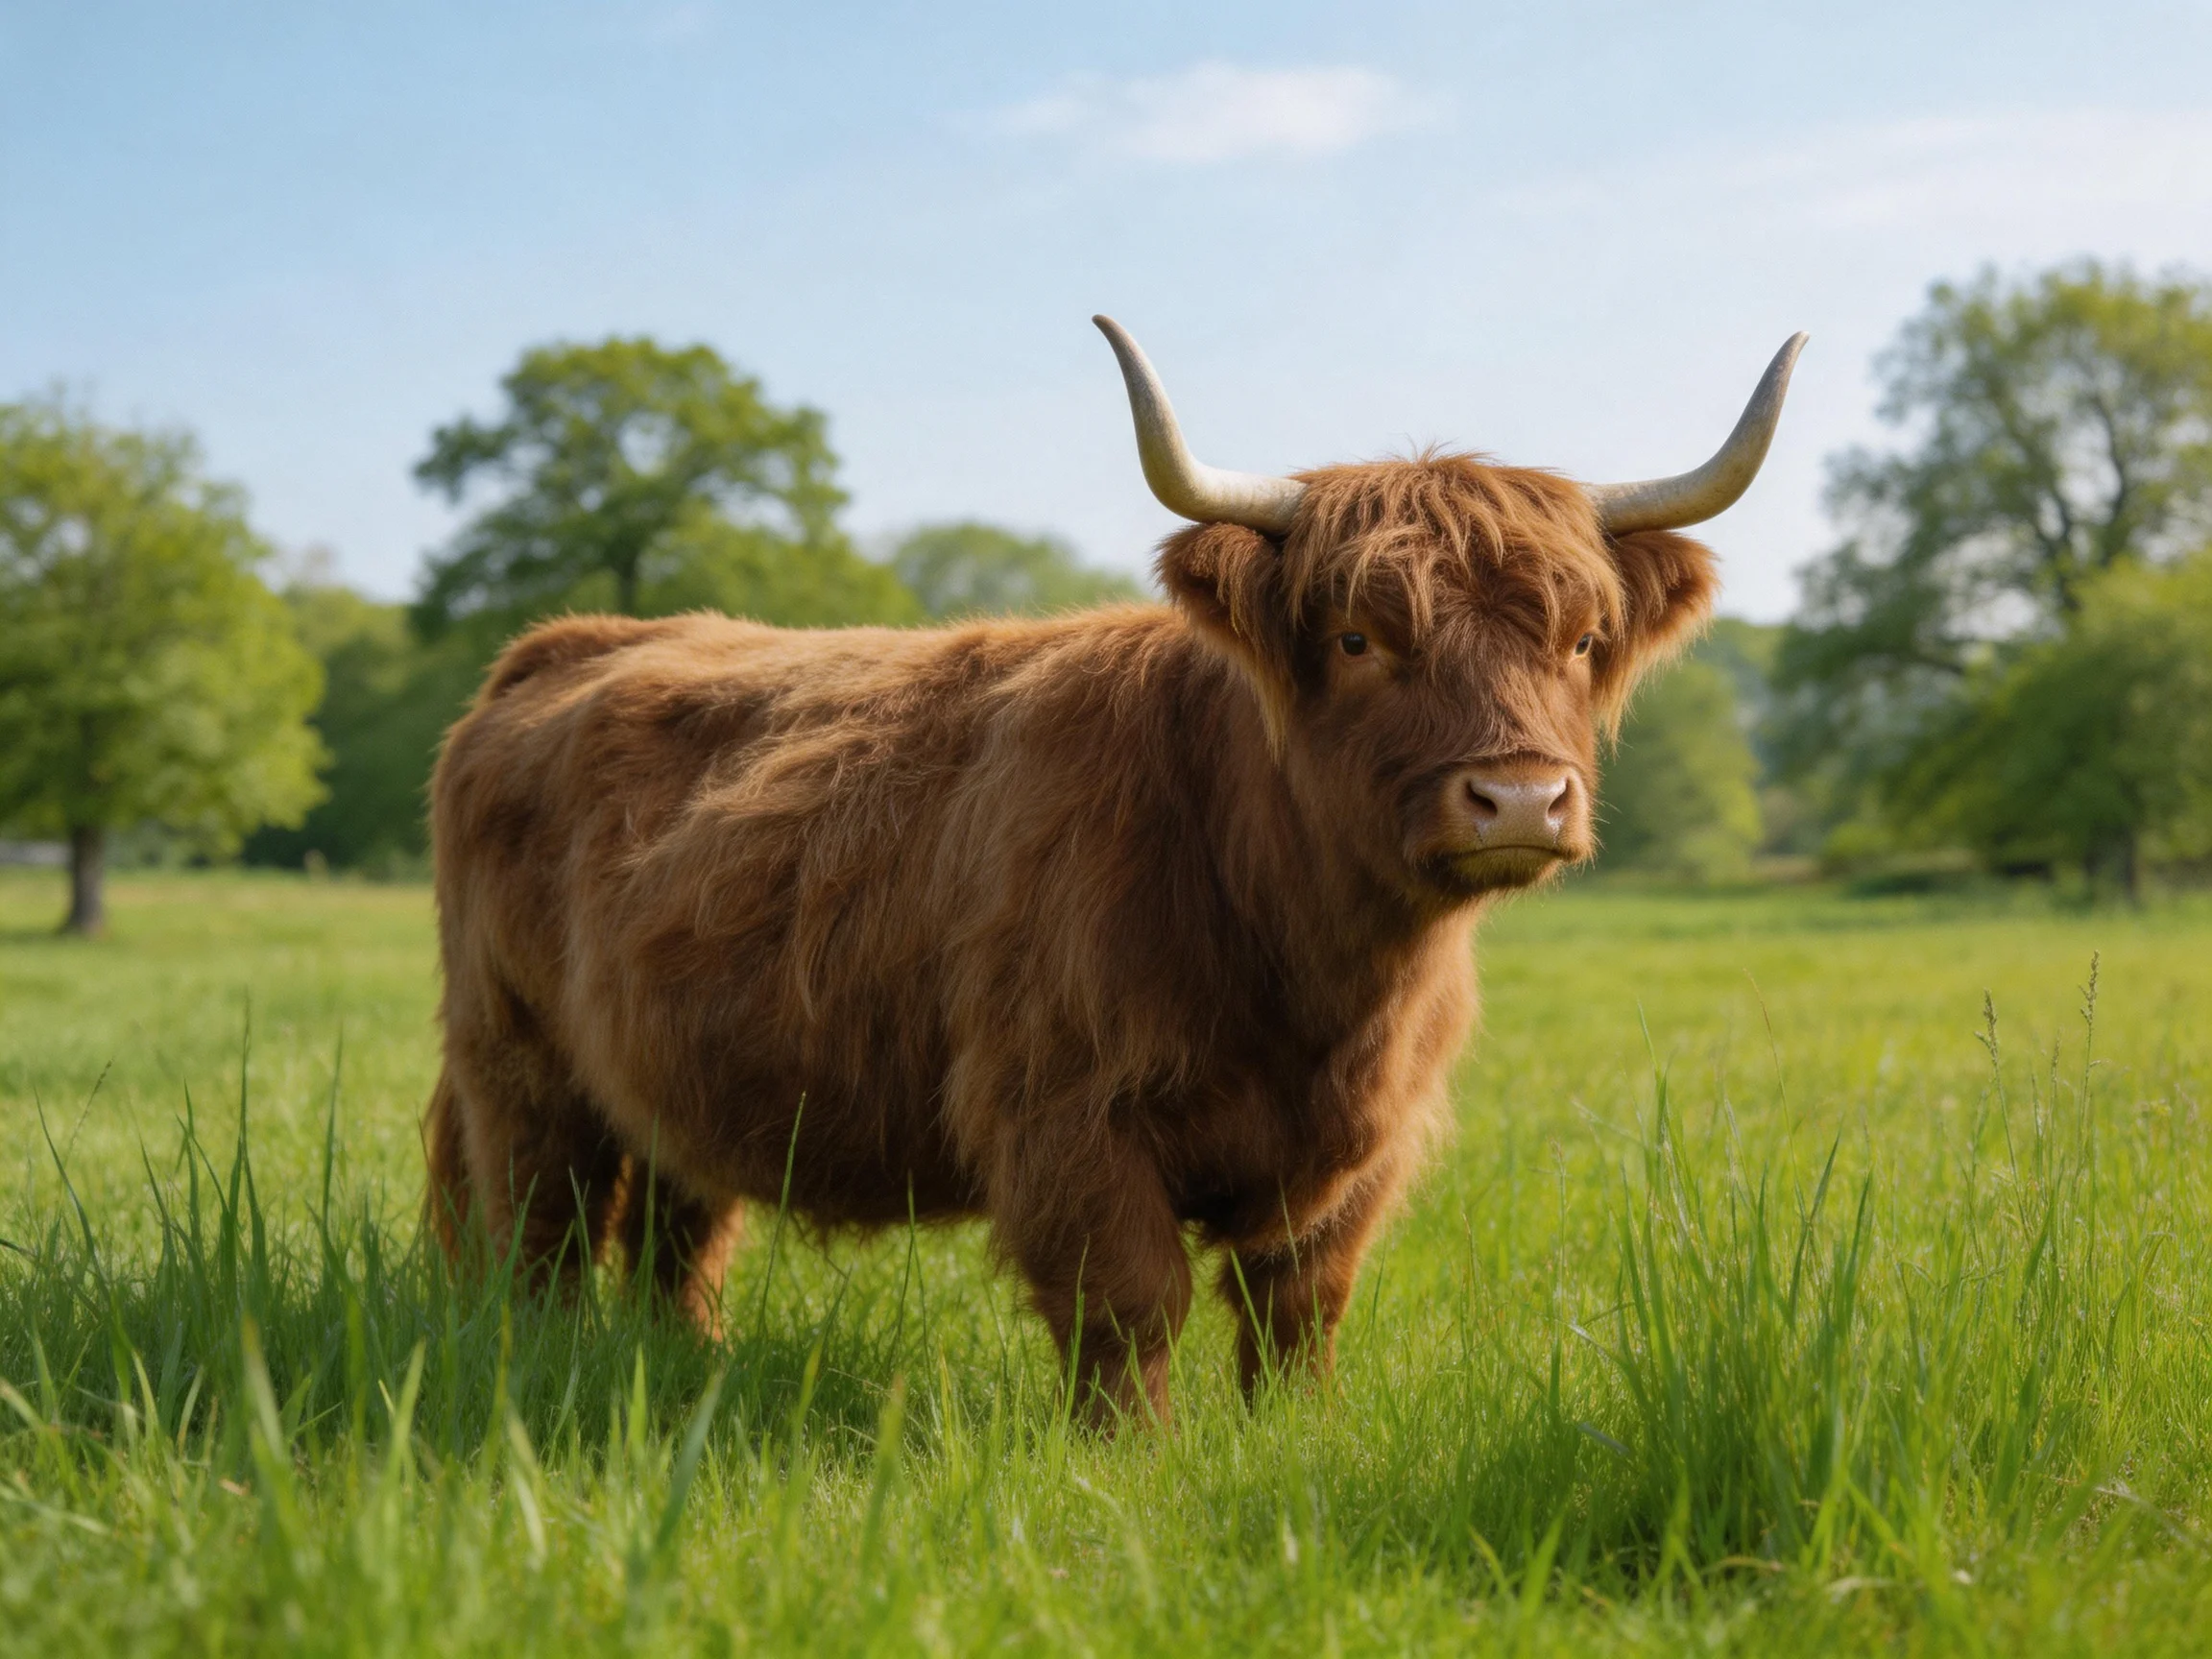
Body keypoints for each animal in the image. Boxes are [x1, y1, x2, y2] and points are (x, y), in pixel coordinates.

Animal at [424, 317, 1804, 1425]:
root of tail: (563, 646)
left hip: (670, 1067)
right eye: (1359, 638)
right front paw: (1129, 1461)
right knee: (538, 1223)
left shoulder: (1364, 1144)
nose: (1519, 796)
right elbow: (1130, 1303)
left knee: (675, 1230)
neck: (1316, 976)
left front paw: (1292, 1440)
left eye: (1581, 639)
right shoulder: (1065, 1112)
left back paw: (689, 1364)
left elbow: (1301, 1304)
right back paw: (545, 1364)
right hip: (519, 1055)